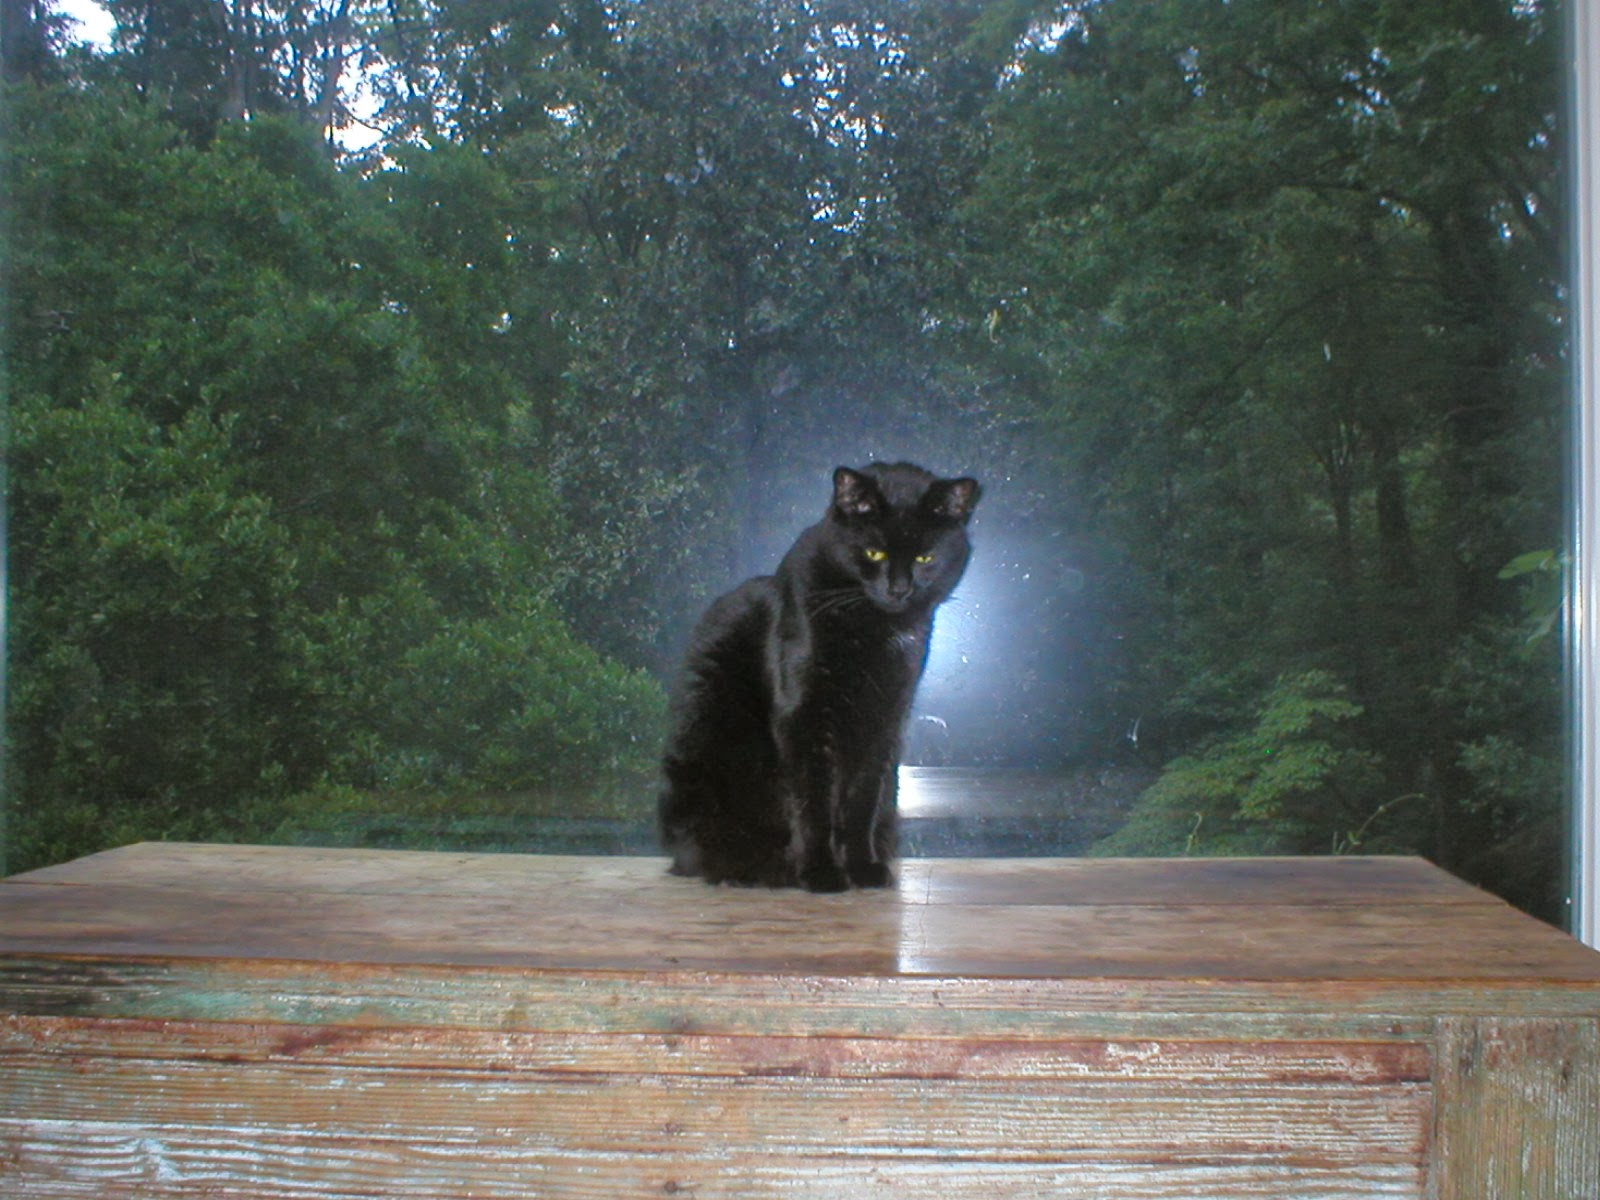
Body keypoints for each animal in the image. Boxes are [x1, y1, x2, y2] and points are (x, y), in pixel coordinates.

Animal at [659, 462, 980, 892]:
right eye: (874, 552)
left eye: (925, 556)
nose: (899, 589)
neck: (873, 627)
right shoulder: (805, 716)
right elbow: (815, 802)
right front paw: (822, 873)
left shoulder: (883, 721)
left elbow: (861, 803)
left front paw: (862, 868)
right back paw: (759, 870)